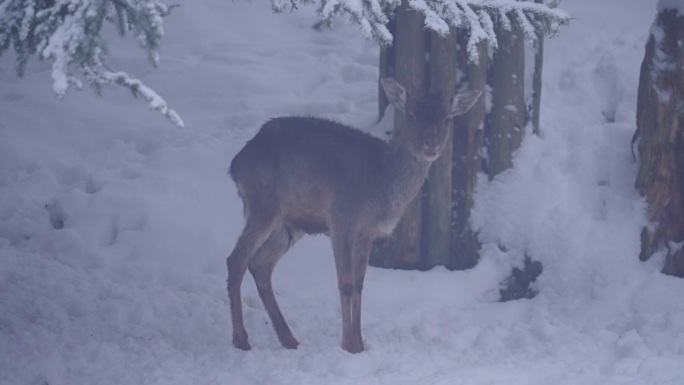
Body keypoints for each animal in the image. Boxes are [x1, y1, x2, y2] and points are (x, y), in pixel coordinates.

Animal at [227, 78, 478, 352]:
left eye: (447, 119)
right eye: (411, 115)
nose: (431, 145)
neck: (382, 185)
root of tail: (236, 164)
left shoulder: (367, 232)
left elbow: (359, 283)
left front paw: (359, 342)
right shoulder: (341, 219)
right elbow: (345, 283)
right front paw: (349, 344)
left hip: (290, 224)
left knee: (260, 265)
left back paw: (289, 339)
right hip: (263, 205)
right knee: (236, 259)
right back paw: (241, 339)